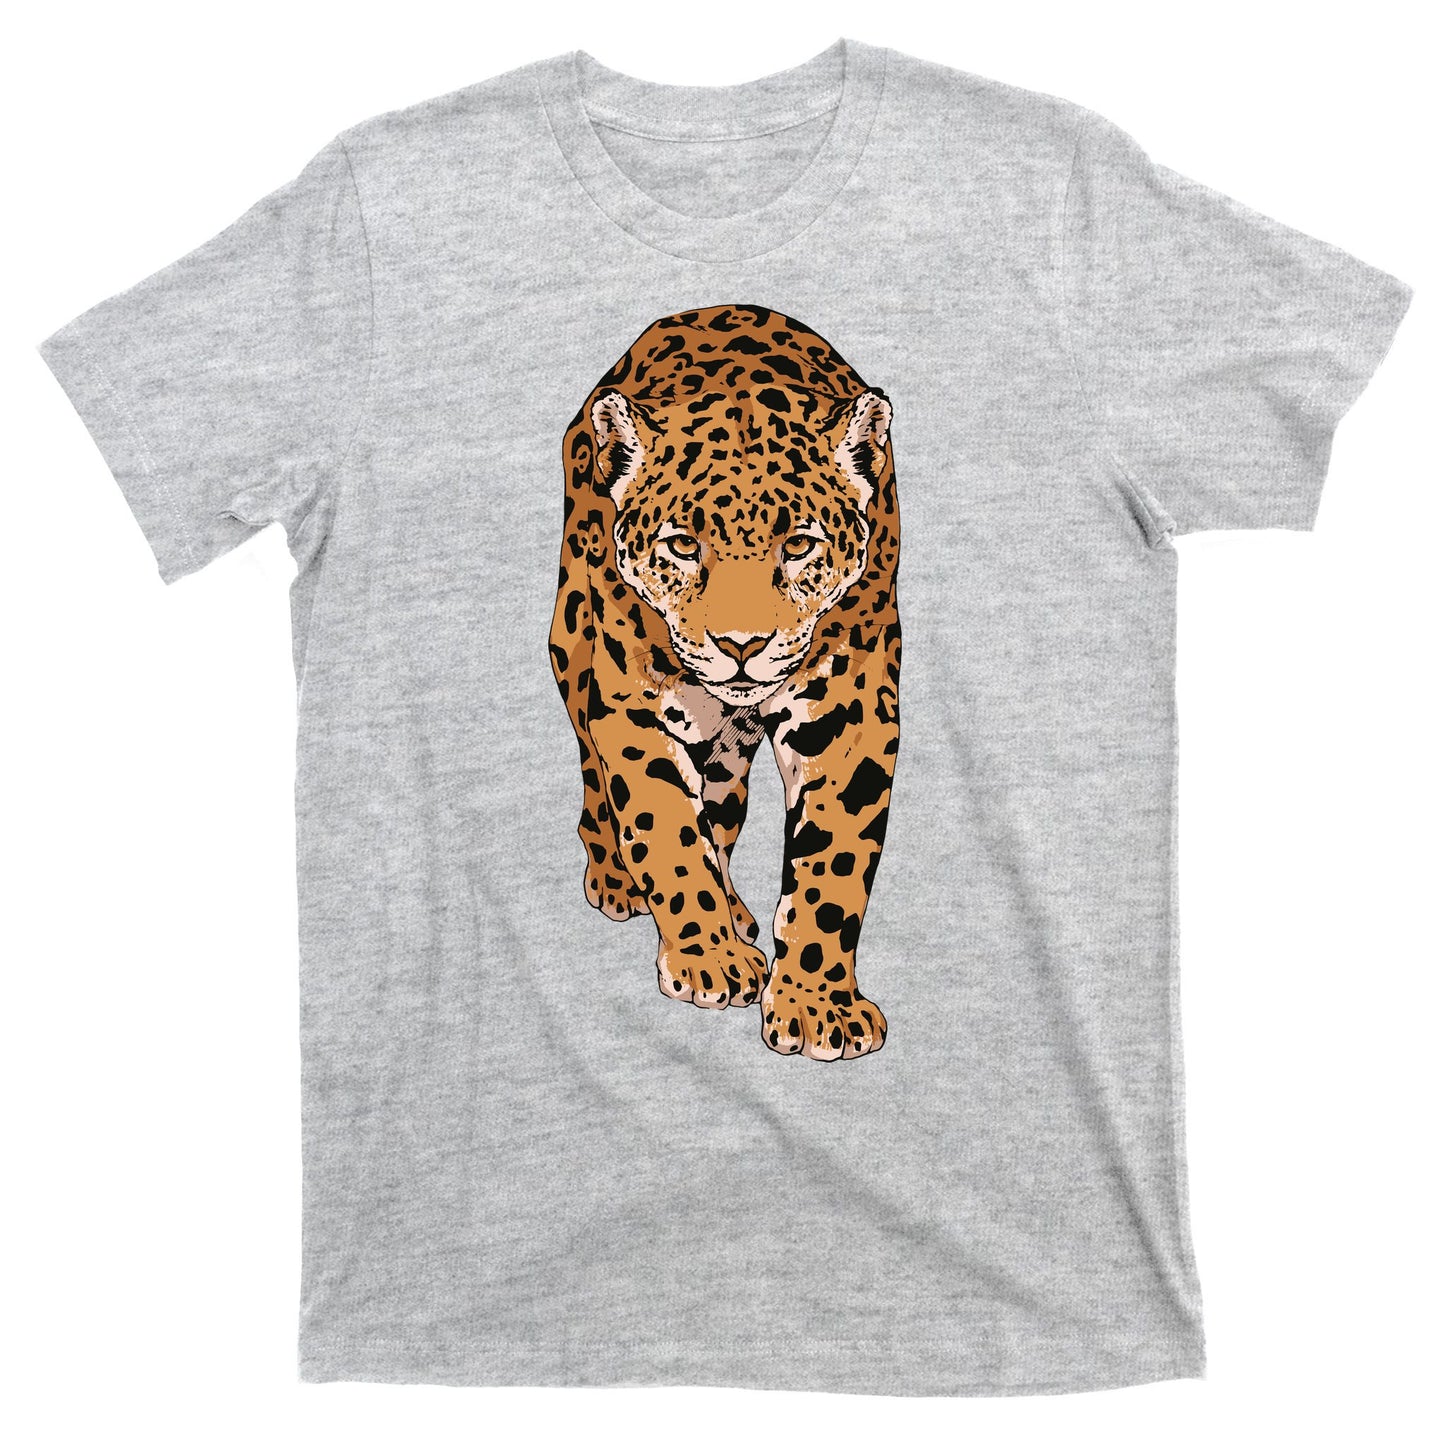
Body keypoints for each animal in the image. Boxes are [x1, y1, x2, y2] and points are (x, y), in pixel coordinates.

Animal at [548, 304, 901, 1061]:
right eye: (683, 545)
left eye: (797, 545)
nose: (742, 646)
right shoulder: (636, 703)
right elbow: (665, 827)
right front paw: (707, 958)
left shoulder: (848, 711)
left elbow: (832, 861)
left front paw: (817, 1003)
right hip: (571, 638)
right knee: (595, 770)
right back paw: (618, 877)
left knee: (721, 801)